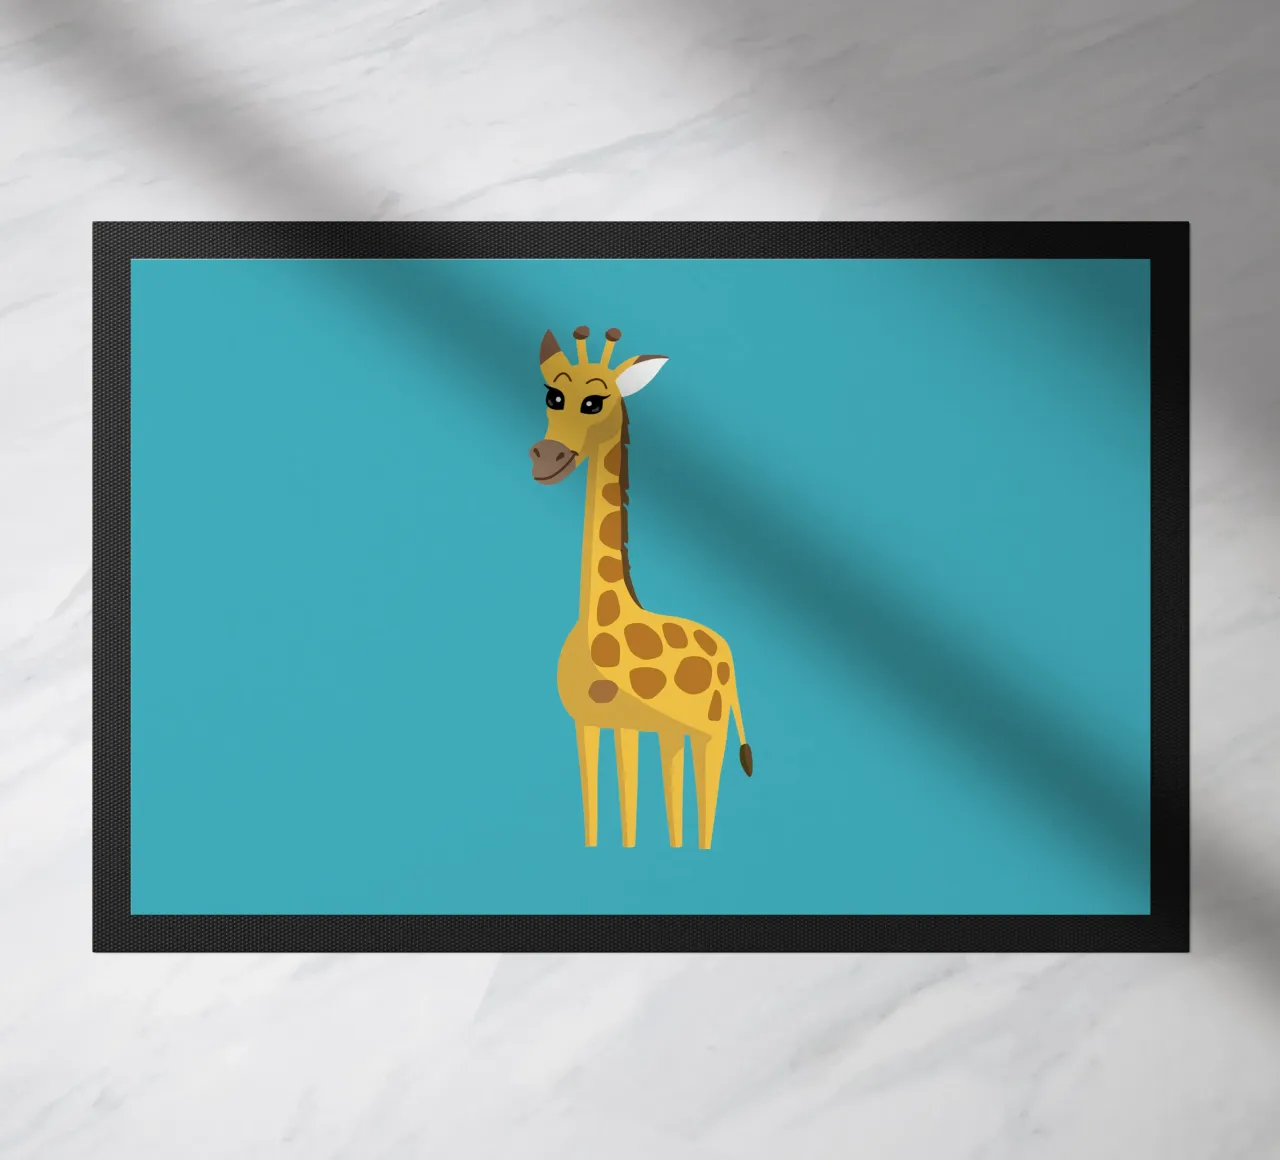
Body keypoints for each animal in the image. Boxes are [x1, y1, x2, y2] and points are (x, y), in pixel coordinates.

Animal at [528, 325, 753, 850]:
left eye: (595, 402)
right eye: (552, 395)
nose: (547, 458)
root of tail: (729, 655)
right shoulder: (599, 722)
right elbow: (607, 810)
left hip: (712, 731)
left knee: (706, 801)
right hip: (675, 733)